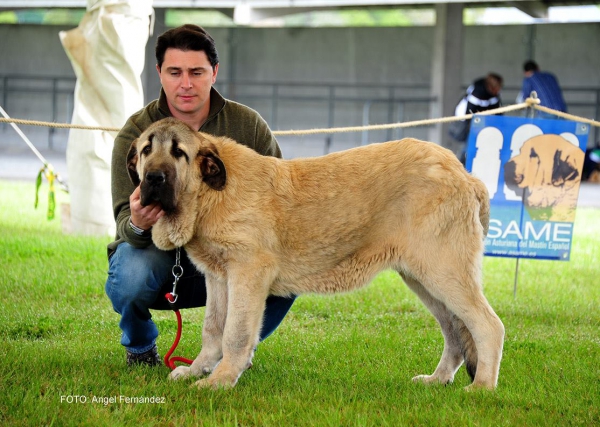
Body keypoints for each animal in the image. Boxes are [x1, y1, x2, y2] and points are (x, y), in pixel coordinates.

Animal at [127, 117, 506, 392]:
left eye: (179, 152)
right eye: (147, 150)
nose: (154, 179)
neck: (209, 194)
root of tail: (465, 174)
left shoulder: (247, 274)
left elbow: (235, 334)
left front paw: (220, 380)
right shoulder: (219, 278)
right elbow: (213, 330)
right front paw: (197, 370)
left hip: (444, 272)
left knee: (488, 325)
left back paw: (482, 388)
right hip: (424, 280)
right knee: (455, 333)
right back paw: (437, 380)